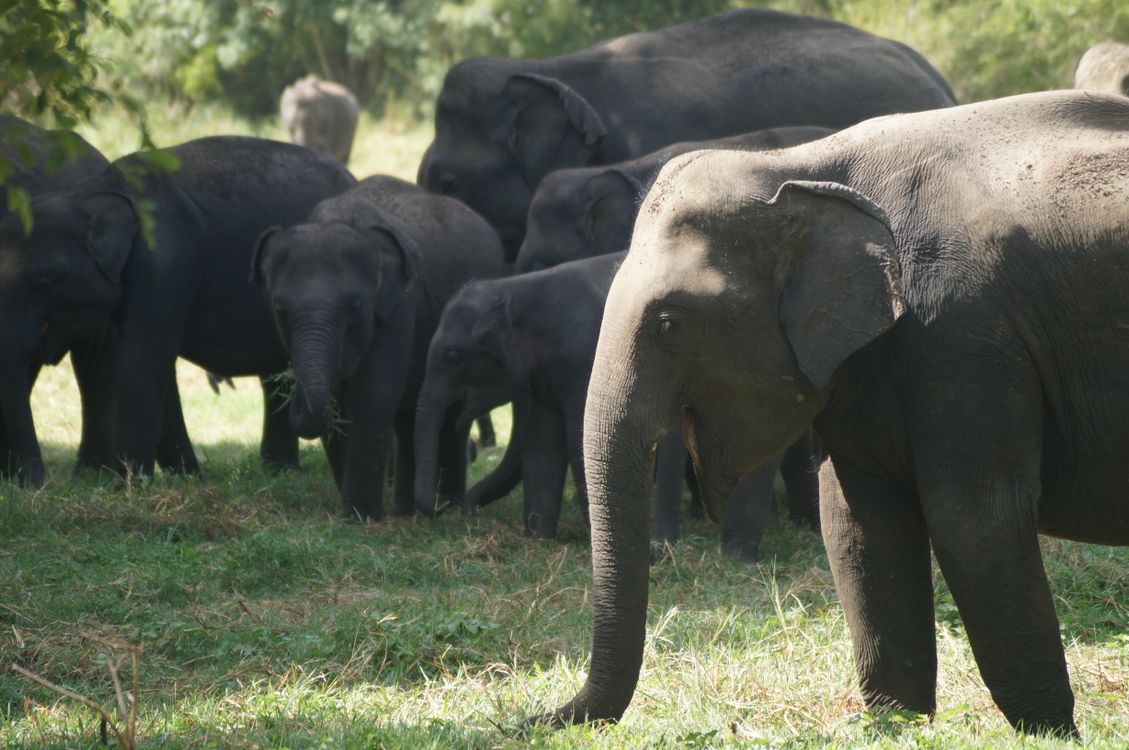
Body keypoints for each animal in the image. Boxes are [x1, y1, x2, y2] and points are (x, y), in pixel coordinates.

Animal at [0, 136, 356, 480]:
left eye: (42, 283)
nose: (39, 482)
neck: (89, 193)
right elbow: (153, 367)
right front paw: (186, 478)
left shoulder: (164, 266)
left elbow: (140, 361)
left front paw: (129, 486)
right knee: (275, 376)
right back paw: (277, 471)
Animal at [251, 175, 509, 521]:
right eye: (279, 308)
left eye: (355, 305)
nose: (291, 382)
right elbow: (340, 408)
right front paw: (352, 513)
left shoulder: (398, 306)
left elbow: (373, 394)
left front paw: (360, 517)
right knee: (408, 415)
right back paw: (406, 512)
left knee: (453, 414)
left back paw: (450, 507)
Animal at [414, 252, 819, 556]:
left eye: (452, 356)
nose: (460, 510)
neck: (515, 289)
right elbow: (542, 445)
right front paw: (540, 539)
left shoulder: (581, 357)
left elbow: (578, 437)